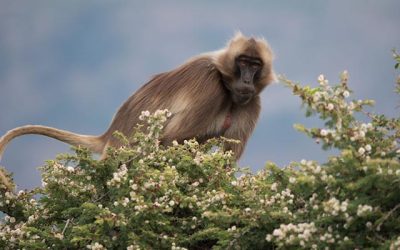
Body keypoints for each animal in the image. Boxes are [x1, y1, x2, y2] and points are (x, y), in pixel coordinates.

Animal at [0, 32, 276, 171]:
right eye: (242, 62)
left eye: (255, 65)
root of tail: (110, 134)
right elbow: (171, 139)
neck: (227, 88)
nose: (247, 81)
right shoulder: (210, 89)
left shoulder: (251, 103)